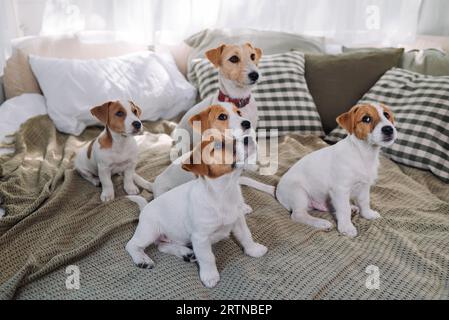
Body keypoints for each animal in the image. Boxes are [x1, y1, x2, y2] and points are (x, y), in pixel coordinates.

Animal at [125, 134, 266, 288]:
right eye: (218, 146)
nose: (248, 137)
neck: (224, 192)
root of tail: (145, 208)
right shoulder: (200, 237)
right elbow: (207, 257)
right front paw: (210, 276)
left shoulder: (238, 221)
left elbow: (246, 237)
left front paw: (254, 250)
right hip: (149, 231)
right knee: (132, 245)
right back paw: (142, 259)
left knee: (162, 246)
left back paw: (186, 253)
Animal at [262, 104, 396, 236]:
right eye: (366, 119)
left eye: (386, 115)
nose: (389, 129)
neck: (362, 153)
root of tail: (277, 190)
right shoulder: (340, 189)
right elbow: (344, 209)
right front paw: (347, 227)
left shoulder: (364, 186)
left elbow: (364, 202)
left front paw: (368, 214)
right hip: (298, 193)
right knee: (298, 214)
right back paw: (321, 223)